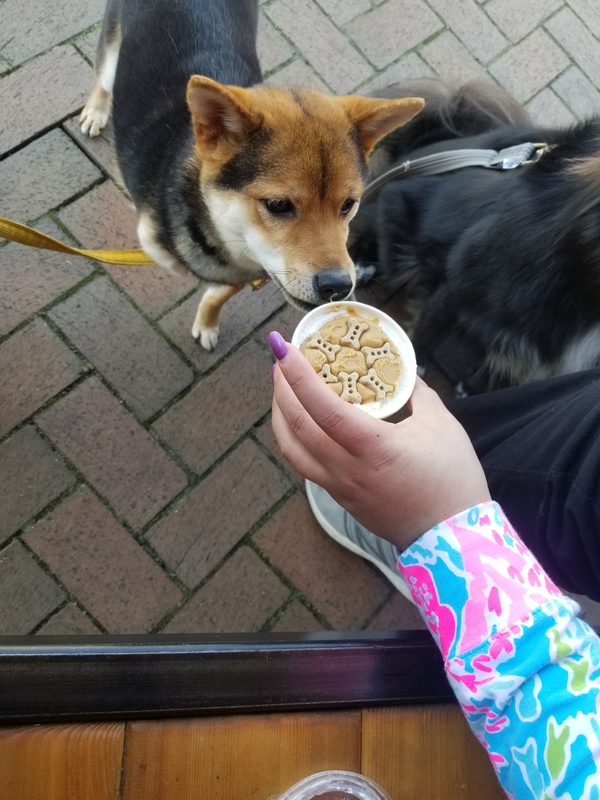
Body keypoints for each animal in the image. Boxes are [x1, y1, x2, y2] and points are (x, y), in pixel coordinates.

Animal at [79, 0, 424, 350]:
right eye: (278, 205)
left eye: (348, 205)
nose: (338, 286)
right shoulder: (152, 239)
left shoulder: (247, 268)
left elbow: (220, 293)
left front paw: (207, 322)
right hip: (112, 53)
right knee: (104, 79)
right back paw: (96, 111)